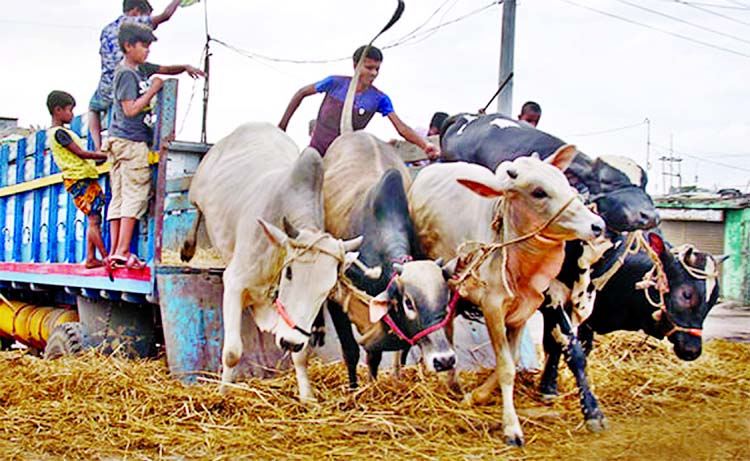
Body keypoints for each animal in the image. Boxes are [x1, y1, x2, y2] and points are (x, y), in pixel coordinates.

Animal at [179, 122, 362, 398]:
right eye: (290, 273)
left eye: (327, 289)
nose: (289, 342)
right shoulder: (234, 283)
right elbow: (232, 352)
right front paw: (222, 393)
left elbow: (302, 355)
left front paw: (307, 396)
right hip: (197, 189)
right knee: (196, 209)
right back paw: (188, 248)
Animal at [320, 169, 456, 388]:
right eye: (408, 303)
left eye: (446, 299)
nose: (444, 360)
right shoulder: (336, 302)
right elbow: (351, 352)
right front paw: (354, 389)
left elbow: (383, 355)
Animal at [408, 148, 608, 446]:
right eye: (539, 192)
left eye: (565, 182)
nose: (597, 225)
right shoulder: (492, 308)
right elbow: (505, 367)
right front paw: (511, 427)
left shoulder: (525, 309)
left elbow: (513, 360)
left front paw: (478, 395)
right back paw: (449, 380)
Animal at [540, 232, 728, 430]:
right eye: (686, 294)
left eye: (714, 299)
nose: (693, 350)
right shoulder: (552, 297)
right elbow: (574, 354)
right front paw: (593, 412)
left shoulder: (586, 315)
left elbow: (560, 346)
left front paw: (548, 388)